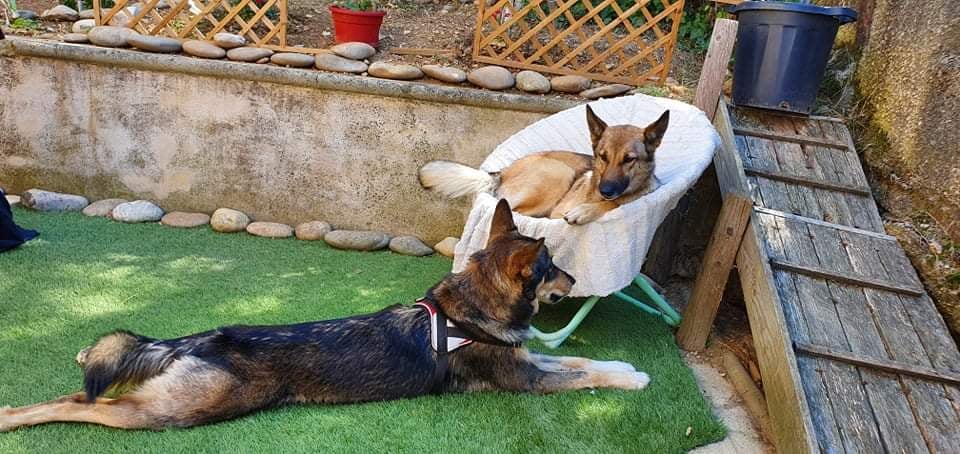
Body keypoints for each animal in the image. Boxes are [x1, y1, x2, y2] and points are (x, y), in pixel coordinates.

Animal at [0, 200, 648, 430]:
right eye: (553, 266)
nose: (576, 281)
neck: (470, 309)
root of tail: (202, 338)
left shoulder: (526, 360)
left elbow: (585, 361)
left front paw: (623, 366)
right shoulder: (522, 380)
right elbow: (581, 374)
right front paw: (635, 377)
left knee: (81, 393)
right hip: (178, 409)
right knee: (83, 406)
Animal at [416, 103, 672, 223]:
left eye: (629, 159)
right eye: (603, 156)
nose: (605, 190)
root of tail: (503, 172)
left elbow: (616, 205)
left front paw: (589, 209)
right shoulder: (560, 210)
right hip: (558, 173)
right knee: (513, 212)